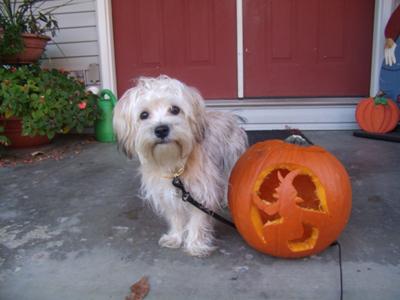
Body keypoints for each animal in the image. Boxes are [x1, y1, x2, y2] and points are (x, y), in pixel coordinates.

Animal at [112, 75, 248, 255]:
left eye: (175, 109)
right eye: (144, 115)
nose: (161, 129)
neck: (174, 164)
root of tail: (230, 115)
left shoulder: (200, 192)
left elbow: (197, 220)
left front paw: (195, 244)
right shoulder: (167, 193)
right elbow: (175, 217)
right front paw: (175, 237)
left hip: (232, 160)